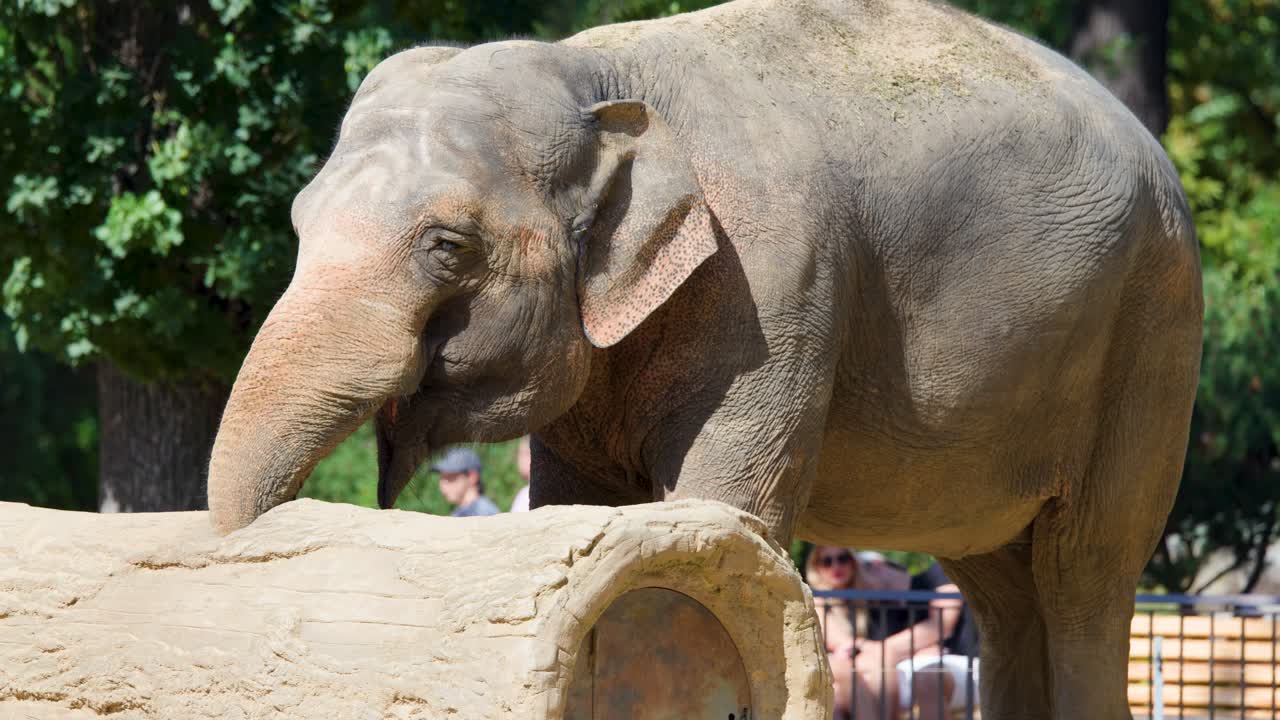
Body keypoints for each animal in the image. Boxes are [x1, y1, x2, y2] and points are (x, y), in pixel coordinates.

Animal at [205, 0, 1203, 717]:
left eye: (446, 246)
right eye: (296, 220)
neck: (591, 74)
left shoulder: (773, 282)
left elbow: (722, 511)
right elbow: (578, 508)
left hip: (1152, 335)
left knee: (1084, 574)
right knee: (1001, 587)